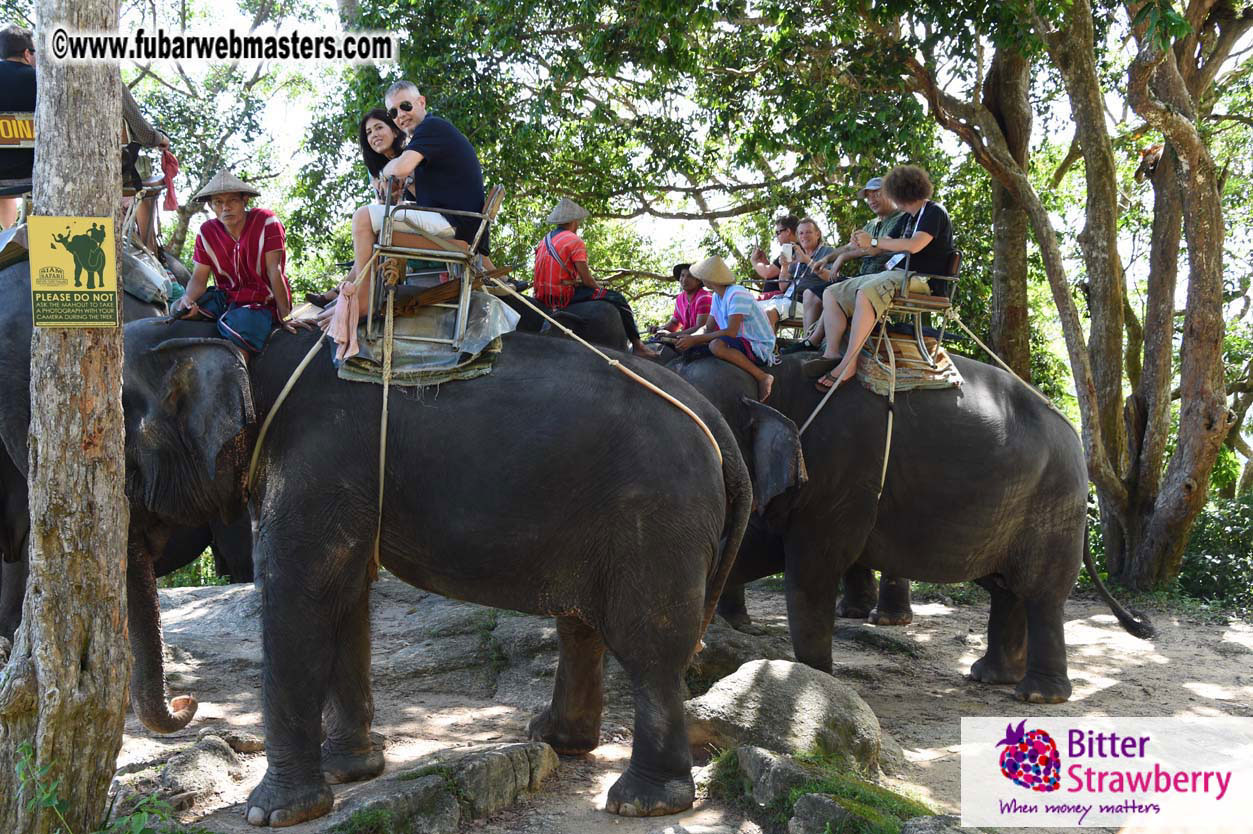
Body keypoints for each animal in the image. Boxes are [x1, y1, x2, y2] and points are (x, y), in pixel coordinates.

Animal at [120, 319, 752, 826]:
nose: (187, 704)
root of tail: (716, 422)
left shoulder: (315, 462)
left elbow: (297, 596)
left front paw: (274, 813)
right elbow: (345, 594)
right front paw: (353, 770)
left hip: (659, 515)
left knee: (649, 645)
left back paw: (642, 802)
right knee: (583, 624)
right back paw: (556, 740)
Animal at [670, 350, 1152, 704]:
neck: (774, 375)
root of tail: (1073, 432)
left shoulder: (841, 471)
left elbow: (810, 571)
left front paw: (816, 682)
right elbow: (752, 549)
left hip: (1054, 502)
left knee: (1042, 593)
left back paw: (1036, 696)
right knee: (1005, 589)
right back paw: (990, 678)